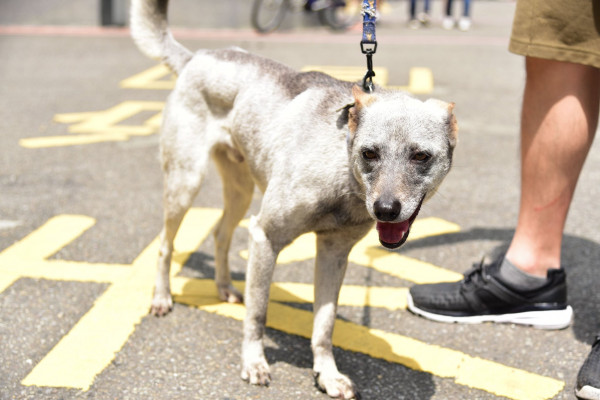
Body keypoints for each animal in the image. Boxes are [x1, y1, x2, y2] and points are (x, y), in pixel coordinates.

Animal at [131, 1, 458, 398]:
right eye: (369, 153)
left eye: (420, 156)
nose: (385, 210)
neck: (340, 167)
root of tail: (198, 57)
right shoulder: (265, 236)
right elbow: (257, 314)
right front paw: (254, 363)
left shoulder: (334, 253)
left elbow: (324, 325)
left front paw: (327, 374)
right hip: (186, 181)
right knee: (166, 245)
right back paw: (162, 297)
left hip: (241, 190)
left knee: (221, 234)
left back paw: (223, 287)